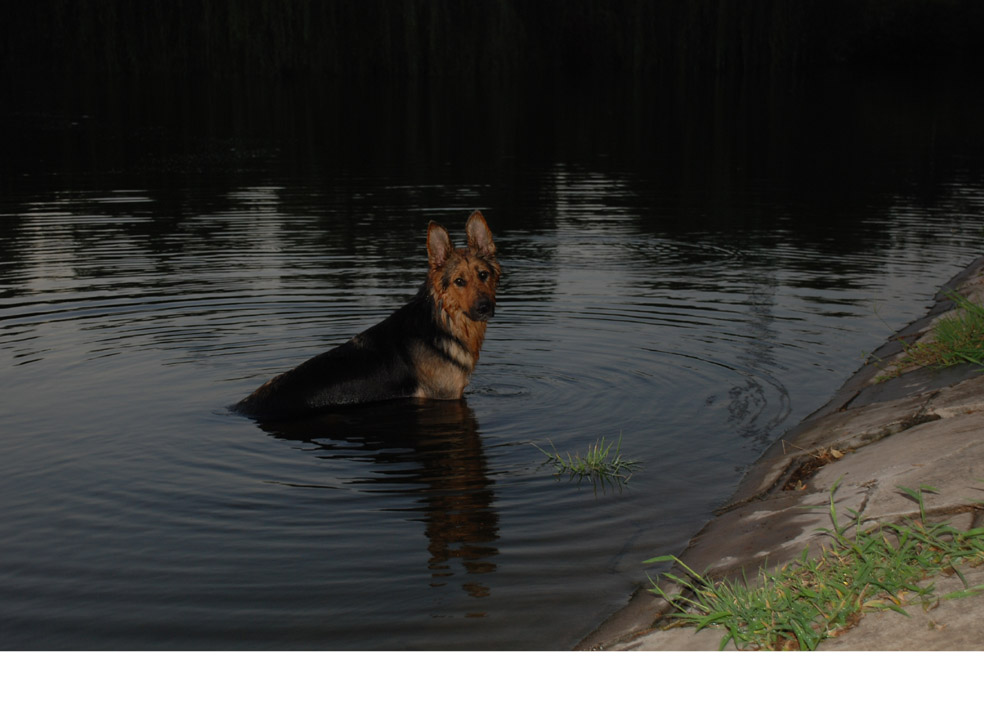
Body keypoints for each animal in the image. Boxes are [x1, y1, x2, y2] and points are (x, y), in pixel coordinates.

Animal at [234, 208, 500, 422]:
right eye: (459, 281)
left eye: (483, 275)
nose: (485, 307)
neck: (444, 322)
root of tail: (239, 409)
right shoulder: (446, 396)